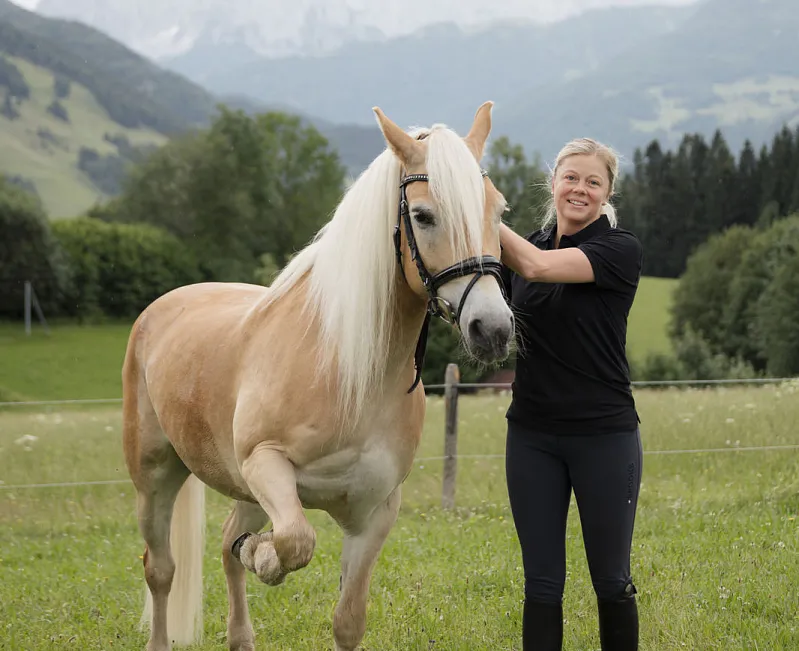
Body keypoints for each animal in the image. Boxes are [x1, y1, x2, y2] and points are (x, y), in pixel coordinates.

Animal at [122, 100, 515, 651]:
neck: (349, 373)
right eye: (423, 215)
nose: (492, 329)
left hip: (242, 488)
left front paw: (256, 552)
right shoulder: (267, 465)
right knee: (160, 569)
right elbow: (295, 541)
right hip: (156, 475)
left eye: (498, 212)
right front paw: (261, 554)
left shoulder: (374, 512)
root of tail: (164, 306)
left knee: (224, 540)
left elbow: (347, 618)